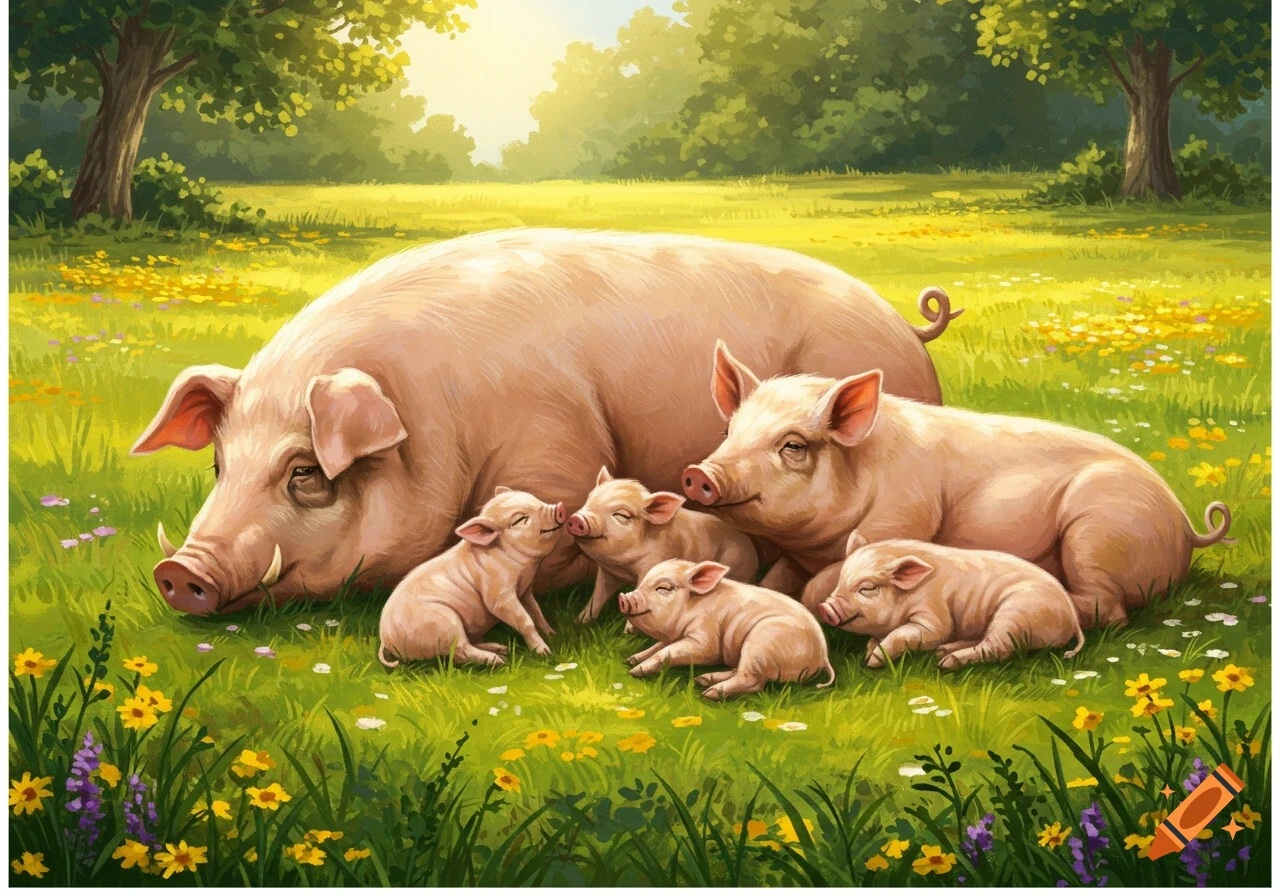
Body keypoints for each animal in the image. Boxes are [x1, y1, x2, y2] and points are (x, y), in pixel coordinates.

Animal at [378, 488, 565, 668]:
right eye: (520, 519)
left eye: (535, 499)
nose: (560, 508)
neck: (523, 569)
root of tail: (385, 640)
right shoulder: (498, 594)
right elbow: (524, 620)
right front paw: (544, 652)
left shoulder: (525, 591)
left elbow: (536, 611)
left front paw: (553, 634)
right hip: (444, 623)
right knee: (459, 653)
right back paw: (498, 660)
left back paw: (501, 648)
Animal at [567, 466, 759, 625]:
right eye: (589, 500)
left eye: (621, 515)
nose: (577, 519)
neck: (623, 566)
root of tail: (752, 548)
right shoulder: (608, 572)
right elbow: (598, 595)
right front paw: (579, 622)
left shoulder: (653, 563)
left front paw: (628, 631)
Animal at [618, 559, 835, 700]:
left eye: (663, 588)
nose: (623, 598)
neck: (691, 608)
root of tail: (823, 656)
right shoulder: (673, 637)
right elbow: (657, 646)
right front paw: (631, 660)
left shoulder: (705, 642)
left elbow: (667, 651)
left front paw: (635, 672)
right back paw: (703, 680)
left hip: (762, 642)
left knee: (753, 681)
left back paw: (710, 693)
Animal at [681, 348, 1233, 628]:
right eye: (729, 432)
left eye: (793, 445)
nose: (699, 473)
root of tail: (1185, 524)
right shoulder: (797, 556)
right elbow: (777, 581)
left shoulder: (909, 514)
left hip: (1097, 530)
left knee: (1107, 609)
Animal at [818, 533, 1085, 670]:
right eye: (840, 580)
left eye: (867, 588)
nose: (825, 607)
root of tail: (1072, 616)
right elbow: (875, 639)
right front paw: (867, 654)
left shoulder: (934, 619)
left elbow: (904, 634)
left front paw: (872, 662)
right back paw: (943, 652)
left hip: (1017, 612)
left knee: (997, 647)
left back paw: (946, 662)